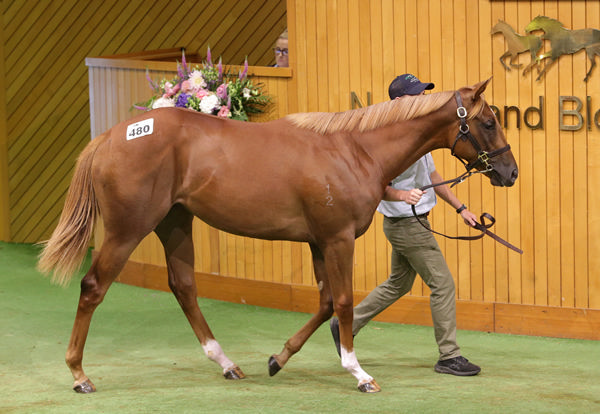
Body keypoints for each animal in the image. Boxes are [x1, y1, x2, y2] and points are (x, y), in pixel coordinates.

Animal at [37, 78, 516, 394]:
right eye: (488, 122)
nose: (510, 172)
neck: (355, 150)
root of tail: (110, 137)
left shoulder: (319, 242)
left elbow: (325, 303)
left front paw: (277, 359)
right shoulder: (338, 239)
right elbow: (344, 302)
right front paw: (358, 373)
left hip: (174, 222)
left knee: (183, 286)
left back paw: (227, 364)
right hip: (128, 228)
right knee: (93, 286)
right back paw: (79, 374)